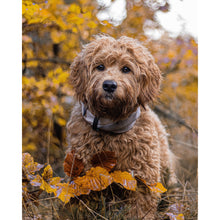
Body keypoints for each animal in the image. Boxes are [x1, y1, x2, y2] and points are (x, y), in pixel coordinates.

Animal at [65, 35, 177, 219]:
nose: (109, 85)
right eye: (100, 67)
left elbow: (140, 210)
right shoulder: (83, 174)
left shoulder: (142, 180)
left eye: (126, 69)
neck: (111, 125)